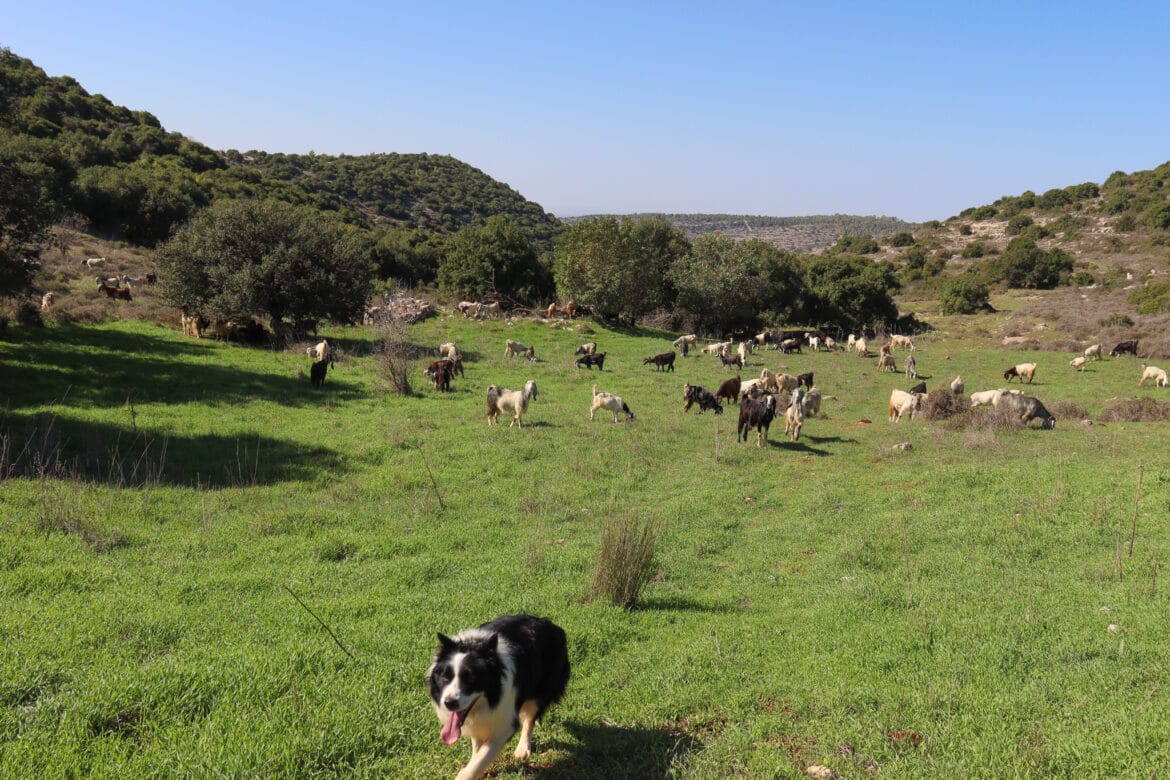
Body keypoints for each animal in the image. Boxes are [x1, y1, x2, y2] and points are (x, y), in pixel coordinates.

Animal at [432, 617, 573, 780]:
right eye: (445, 677)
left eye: (471, 679)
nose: (449, 703)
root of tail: (551, 624)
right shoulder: (479, 722)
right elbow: (477, 749)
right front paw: (480, 770)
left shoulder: (505, 721)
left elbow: (483, 757)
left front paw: (469, 772)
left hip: (541, 688)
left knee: (529, 719)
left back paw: (522, 749)